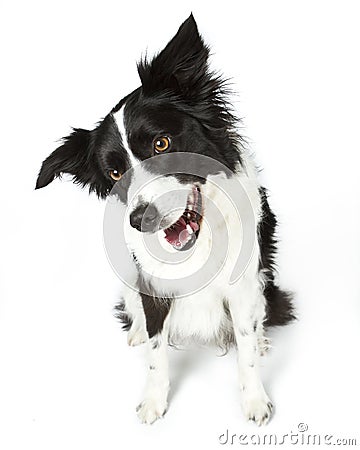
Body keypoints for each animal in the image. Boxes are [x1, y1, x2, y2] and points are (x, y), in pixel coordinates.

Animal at [35, 14, 296, 426]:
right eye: (114, 173)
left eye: (162, 144)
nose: (142, 219)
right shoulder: (151, 286)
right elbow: (157, 352)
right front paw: (153, 401)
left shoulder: (242, 285)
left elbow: (246, 344)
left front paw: (255, 400)